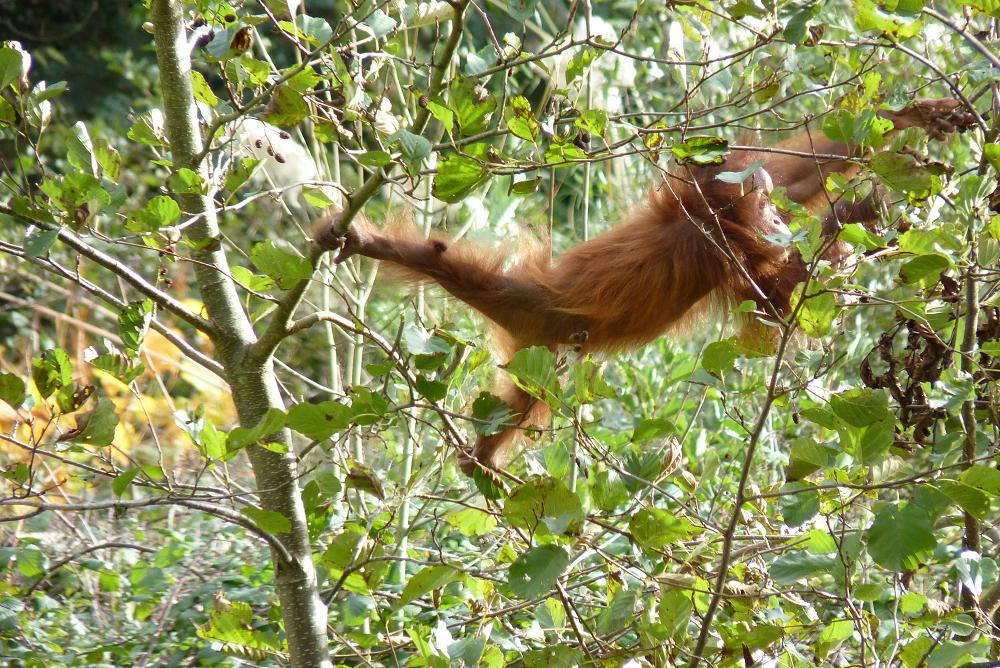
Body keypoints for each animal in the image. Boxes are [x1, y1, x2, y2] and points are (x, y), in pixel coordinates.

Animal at [314, 99, 974, 477]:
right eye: (764, 210)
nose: (773, 217)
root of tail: (528, 318)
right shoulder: (719, 228)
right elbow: (783, 284)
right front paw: (870, 204)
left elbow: (798, 208)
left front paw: (911, 130)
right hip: (520, 302)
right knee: (442, 263)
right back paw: (367, 243)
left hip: (538, 357)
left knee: (520, 399)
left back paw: (481, 459)